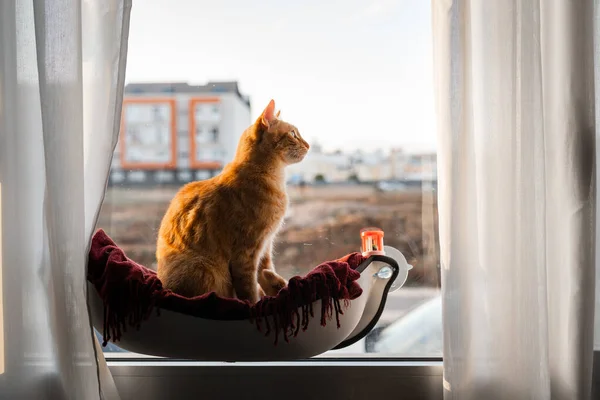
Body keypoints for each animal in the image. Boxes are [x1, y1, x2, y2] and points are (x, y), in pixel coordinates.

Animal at [155, 99, 310, 304]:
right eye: (293, 134)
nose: (308, 145)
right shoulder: (245, 254)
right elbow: (249, 292)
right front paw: (256, 301)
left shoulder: (265, 247)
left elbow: (265, 272)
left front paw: (271, 285)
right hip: (204, 268)